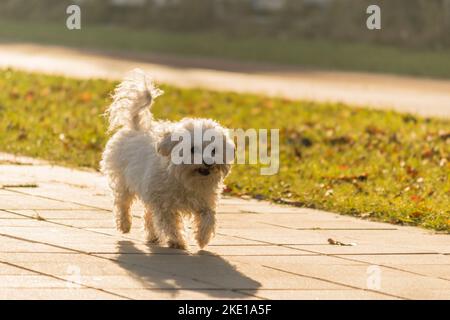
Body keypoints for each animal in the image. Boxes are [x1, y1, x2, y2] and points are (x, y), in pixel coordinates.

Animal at [100, 69, 234, 250]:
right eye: (192, 149)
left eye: (214, 150)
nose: (208, 162)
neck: (185, 180)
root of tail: (136, 126)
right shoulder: (164, 205)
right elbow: (169, 224)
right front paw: (177, 241)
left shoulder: (204, 200)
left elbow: (208, 217)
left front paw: (202, 238)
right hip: (122, 179)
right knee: (122, 202)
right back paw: (124, 224)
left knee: (148, 214)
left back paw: (152, 236)